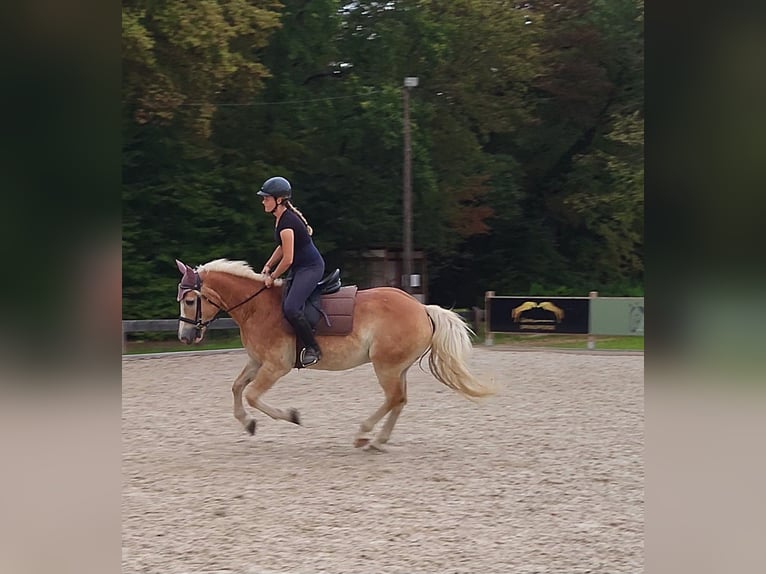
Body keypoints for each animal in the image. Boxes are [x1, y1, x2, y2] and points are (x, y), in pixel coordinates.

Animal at [175, 258, 494, 451]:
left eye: (190, 300)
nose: (185, 337)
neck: (257, 307)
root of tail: (422, 308)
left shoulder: (276, 366)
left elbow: (253, 395)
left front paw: (291, 416)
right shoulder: (257, 361)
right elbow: (237, 387)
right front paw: (248, 423)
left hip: (386, 367)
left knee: (393, 398)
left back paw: (364, 433)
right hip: (396, 367)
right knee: (400, 400)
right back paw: (378, 439)